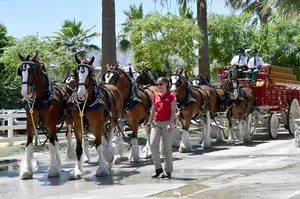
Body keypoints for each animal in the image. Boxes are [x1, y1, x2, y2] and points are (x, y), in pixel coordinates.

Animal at [17, 52, 68, 180]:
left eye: (31, 70)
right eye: (20, 70)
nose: (24, 92)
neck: (40, 99)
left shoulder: (51, 124)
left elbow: (51, 145)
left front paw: (53, 169)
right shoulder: (30, 123)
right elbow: (29, 145)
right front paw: (27, 170)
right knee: (56, 139)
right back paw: (59, 163)